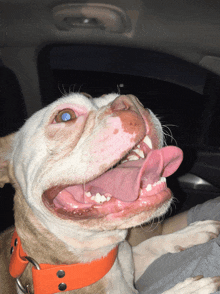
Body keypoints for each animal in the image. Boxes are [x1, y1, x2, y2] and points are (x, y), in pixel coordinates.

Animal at [0, 93, 220, 292]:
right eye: (65, 116)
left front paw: (191, 232)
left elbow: (150, 244)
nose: (132, 101)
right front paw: (190, 288)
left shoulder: (128, 260)